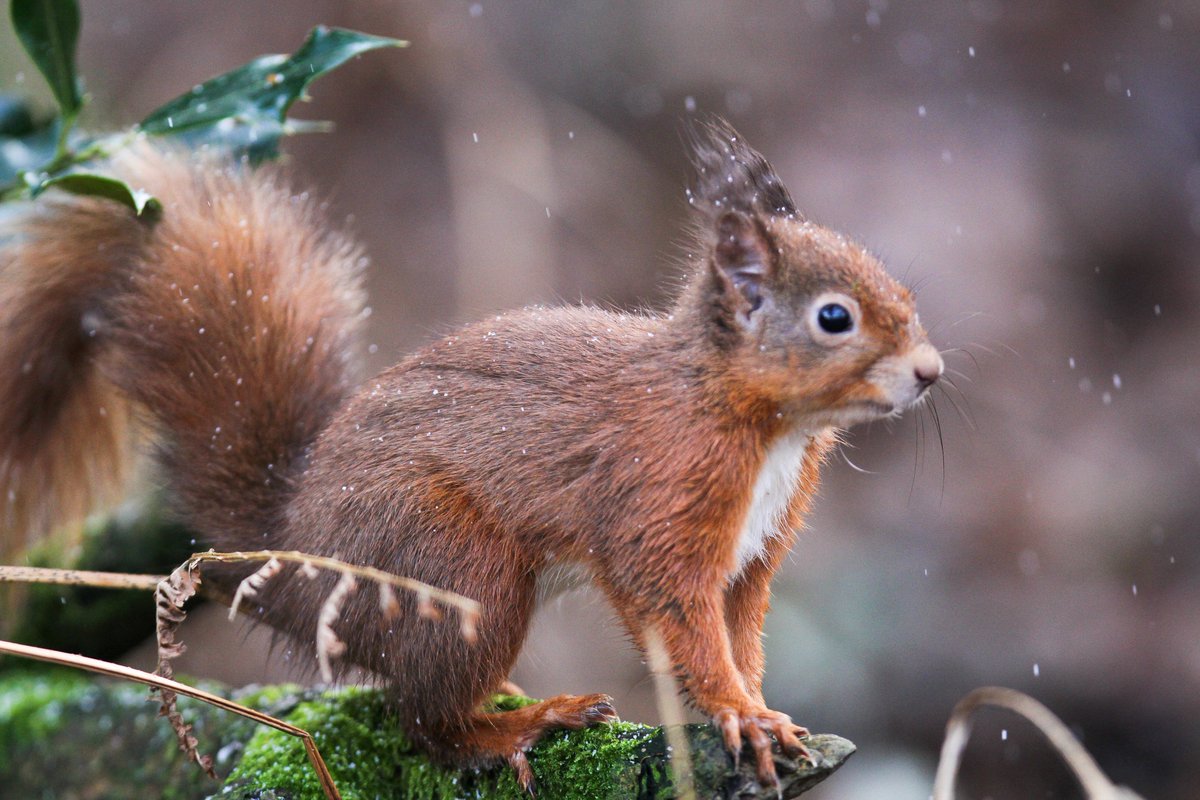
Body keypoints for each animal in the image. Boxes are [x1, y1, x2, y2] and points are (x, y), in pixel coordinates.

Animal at [0, 122, 936, 791]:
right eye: (834, 317)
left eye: (904, 290)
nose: (929, 373)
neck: (759, 423)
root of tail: (297, 564)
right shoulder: (657, 504)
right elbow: (678, 618)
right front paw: (739, 714)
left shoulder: (752, 554)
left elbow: (740, 631)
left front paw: (761, 709)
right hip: (461, 569)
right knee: (426, 723)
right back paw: (520, 724)